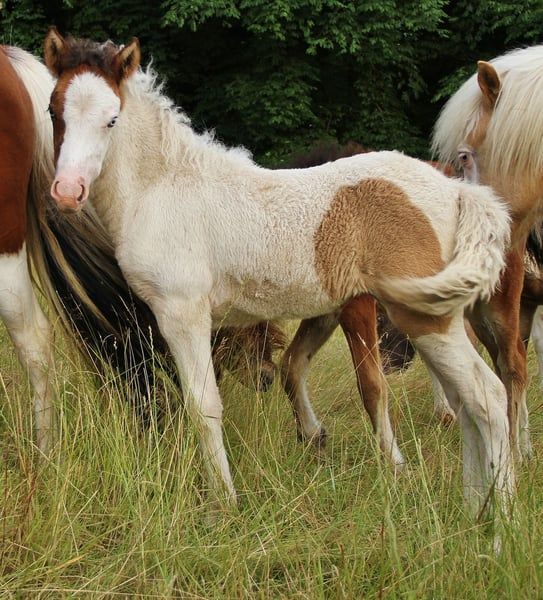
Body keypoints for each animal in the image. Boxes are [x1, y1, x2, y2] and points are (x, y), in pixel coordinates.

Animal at [43, 29, 513, 514]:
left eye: (112, 119)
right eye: (53, 111)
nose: (67, 192)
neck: (162, 189)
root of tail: (457, 191)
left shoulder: (182, 312)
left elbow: (204, 406)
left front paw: (224, 504)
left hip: (425, 315)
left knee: (488, 395)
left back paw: (501, 518)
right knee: (468, 401)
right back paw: (474, 506)